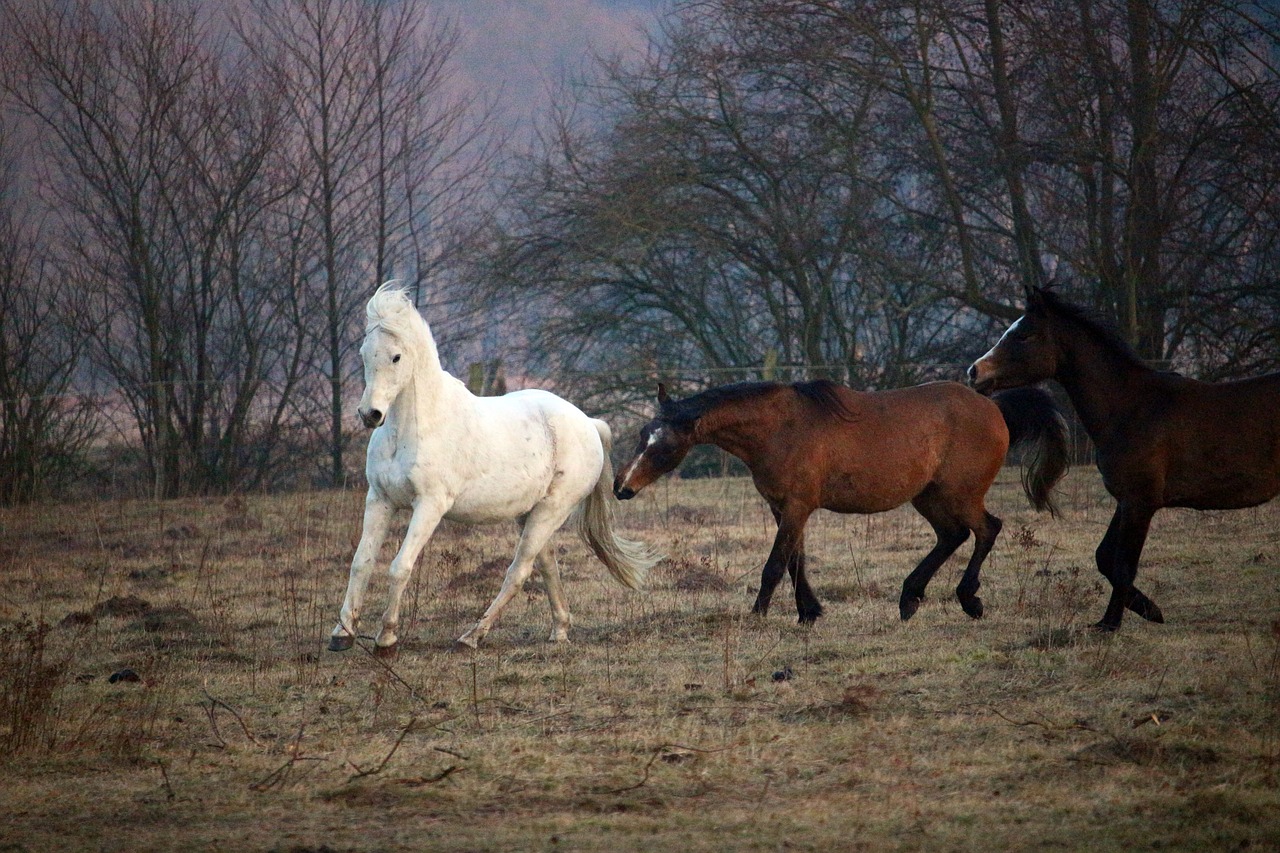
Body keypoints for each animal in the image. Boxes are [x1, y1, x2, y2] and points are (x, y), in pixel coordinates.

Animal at [330, 281, 660, 648]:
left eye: (396, 356)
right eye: (364, 353)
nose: (369, 414)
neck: (415, 427)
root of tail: (588, 422)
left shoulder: (430, 505)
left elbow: (399, 566)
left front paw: (386, 637)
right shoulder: (380, 500)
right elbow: (361, 563)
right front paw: (342, 634)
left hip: (552, 510)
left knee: (519, 570)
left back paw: (472, 636)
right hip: (529, 513)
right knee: (547, 564)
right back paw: (558, 630)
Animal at [611, 381, 1070, 622]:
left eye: (663, 446)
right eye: (642, 434)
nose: (621, 488)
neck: (779, 429)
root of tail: (994, 407)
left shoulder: (797, 506)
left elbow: (775, 564)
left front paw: (758, 615)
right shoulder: (783, 507)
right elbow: (795, 560)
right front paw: (810, 612)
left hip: (960, 493)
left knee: (986, 529)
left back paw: (969, 599)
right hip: (929, 497)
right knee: (952, 536)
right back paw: (910, 598)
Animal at [967, 289, 1280, 627]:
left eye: (1024, 335)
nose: (974, 372)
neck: (1130, 407)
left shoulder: (1140, 503)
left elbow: (1123, 566)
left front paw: (1109, 624)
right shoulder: (1125, 499)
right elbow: (1105, 557)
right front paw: (1150, 609)